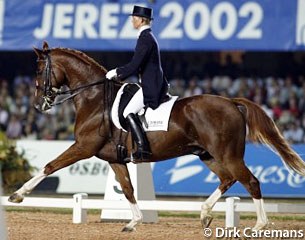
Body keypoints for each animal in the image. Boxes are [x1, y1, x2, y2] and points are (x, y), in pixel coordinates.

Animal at [8, 42, 304, 232]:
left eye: (38, 70)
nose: (38, 105)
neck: (94, 99)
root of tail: (231, 102)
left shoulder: (83, 146)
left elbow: (50, 166)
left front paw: (18, 195)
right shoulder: (114, 158)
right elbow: (127, 189)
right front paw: (133, 222)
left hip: (228, 154)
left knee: (250, 181)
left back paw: (259, 225)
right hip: (208, 155)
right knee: (228, 179)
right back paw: (204, 214)